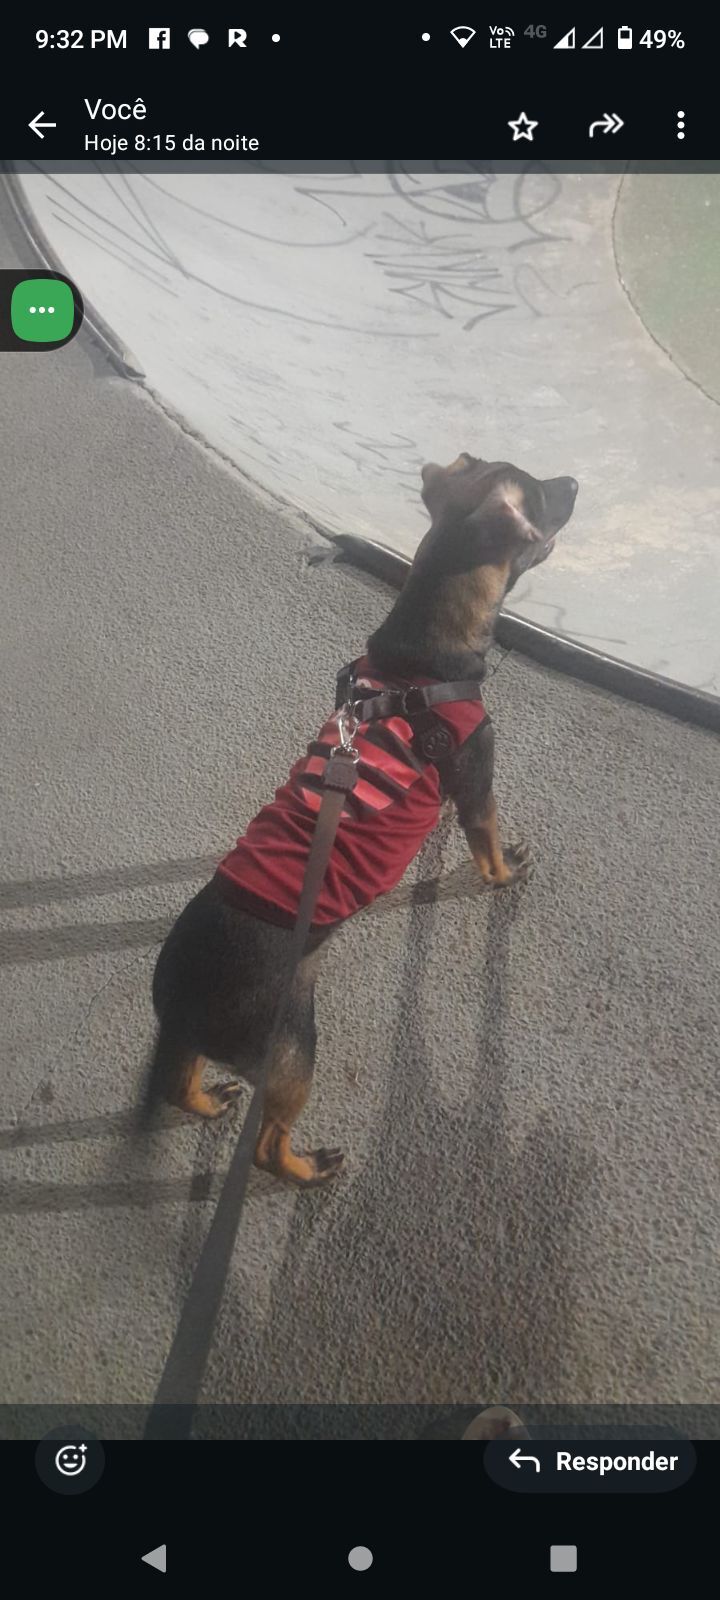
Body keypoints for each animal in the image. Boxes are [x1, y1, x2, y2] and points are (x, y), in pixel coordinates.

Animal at [148, 453, 578, 1185]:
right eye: (543, 495)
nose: (575, 483)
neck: (418, 663)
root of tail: (181, 994)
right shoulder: (479, 780)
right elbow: (489, 849)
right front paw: (504, 873)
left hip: (210, 1046)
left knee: (181, 1084)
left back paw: (209, 1101)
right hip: (294, 1049)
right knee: (266, 1148)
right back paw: (308, 1168)